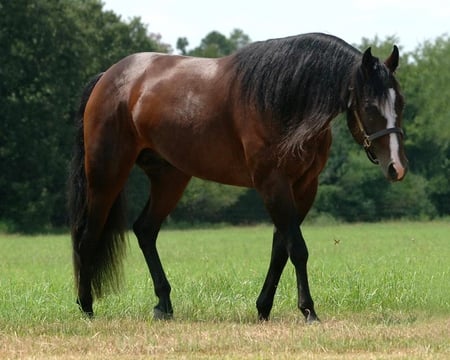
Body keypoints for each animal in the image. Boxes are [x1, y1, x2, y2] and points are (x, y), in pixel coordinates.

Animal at [67, 32, 408, 322]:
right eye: (369, 105)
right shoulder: (272, 183)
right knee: (88, 236)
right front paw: (309, 310)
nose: (397, 167)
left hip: (170, 178)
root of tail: (108, 78)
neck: (282, 101)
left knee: (145, 230)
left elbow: (281, 248)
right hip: (106, 175)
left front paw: (264, 308)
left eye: (400, 102)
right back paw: (86, 307)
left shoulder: (304, 187)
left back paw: (163, 305)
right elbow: (297, 248)